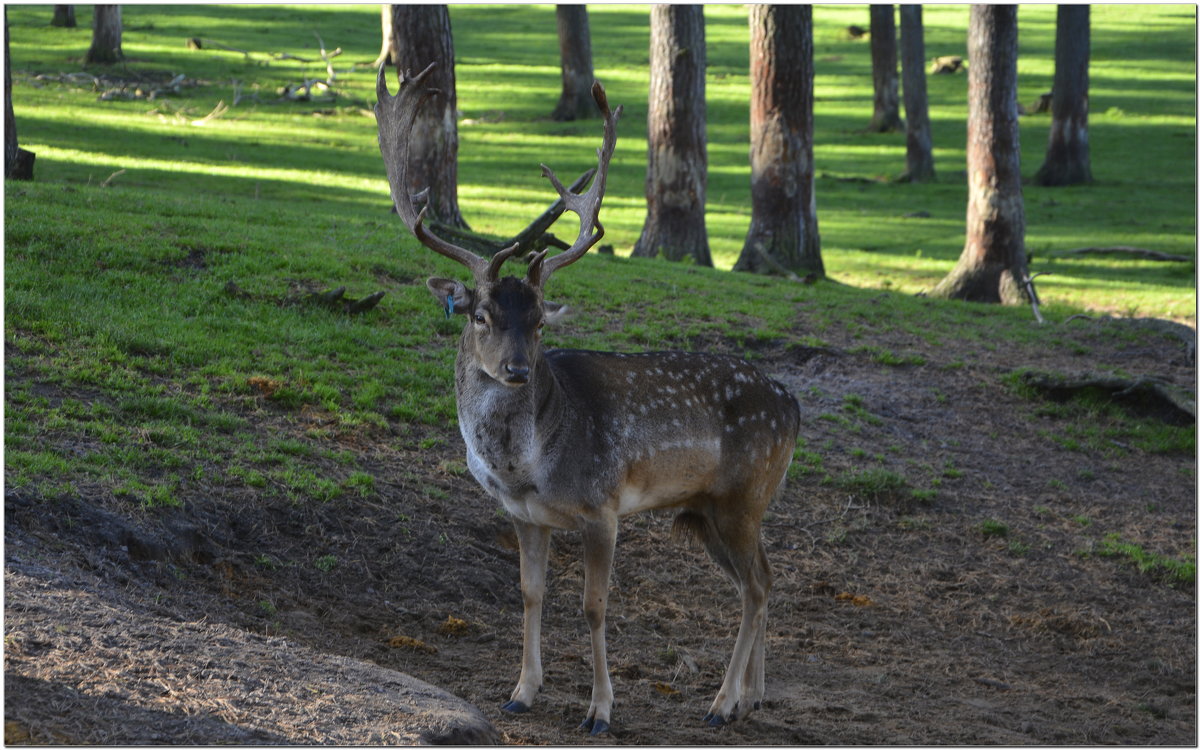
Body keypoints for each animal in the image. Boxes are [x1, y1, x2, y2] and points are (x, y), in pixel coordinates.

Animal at [379, 63, 801, 729]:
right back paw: (750, 697)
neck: (526, 468)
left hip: (744, 494)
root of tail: (794, 406)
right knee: (761, 577)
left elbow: (594, 606)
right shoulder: (523, 516)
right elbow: (530, 594)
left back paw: (720, 703)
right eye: (480, 315)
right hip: (709, 510)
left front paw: (600, 709)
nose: (517, 370)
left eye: (539, 323)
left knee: (756, 585)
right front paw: (521, 691)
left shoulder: (602, 507)